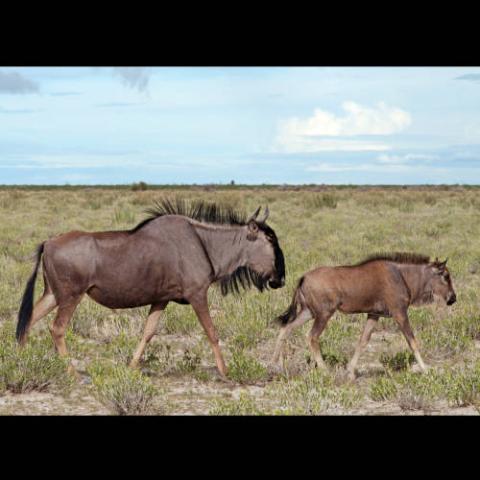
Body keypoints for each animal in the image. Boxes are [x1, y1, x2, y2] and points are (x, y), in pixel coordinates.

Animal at [272, 253, 456, 380]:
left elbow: (362, 341)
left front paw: (350, 371)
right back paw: (325, 370)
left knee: (286, 328)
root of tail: (304, 278)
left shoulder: (374, 315)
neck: (402, 275)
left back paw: (275, 364)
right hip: (323, 314)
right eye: (445, 276)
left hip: (308, 312)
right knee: (311, 336)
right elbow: (413, 342)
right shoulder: (399, 313)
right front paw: (426, 370)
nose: (453, 298)